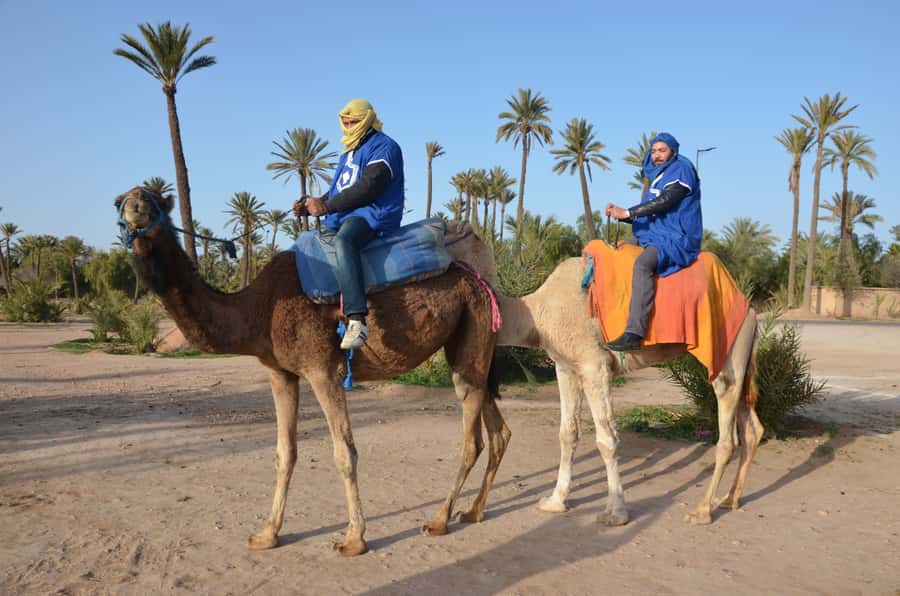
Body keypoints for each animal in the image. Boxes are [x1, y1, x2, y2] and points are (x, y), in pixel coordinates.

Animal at [114, 188, 511, 556]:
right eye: (122, 200)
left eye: (152, 199)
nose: (134, 209)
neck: (259, 310)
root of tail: (480, 280)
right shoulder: (280, 373)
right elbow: (284, 453)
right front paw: (267, 534)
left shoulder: (323, 369)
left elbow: (344, 453)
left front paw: (354, 539)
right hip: (473, 347)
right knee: (499, 431)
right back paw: (473, 511)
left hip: (471, 333)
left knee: (472, 438)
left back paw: (439, 520)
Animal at [444, 224, 764, 526]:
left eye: (443, 229)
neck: (537, 314)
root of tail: (751, 311)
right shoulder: (565, 366)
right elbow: (567, 433)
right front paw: (555, 501)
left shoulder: (594, 365)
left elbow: (606, 439)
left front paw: (616, 513)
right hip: (743, 356)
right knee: (753, 428)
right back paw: (729, 500)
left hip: (728, 351)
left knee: (727, 431)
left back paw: (702, 511)